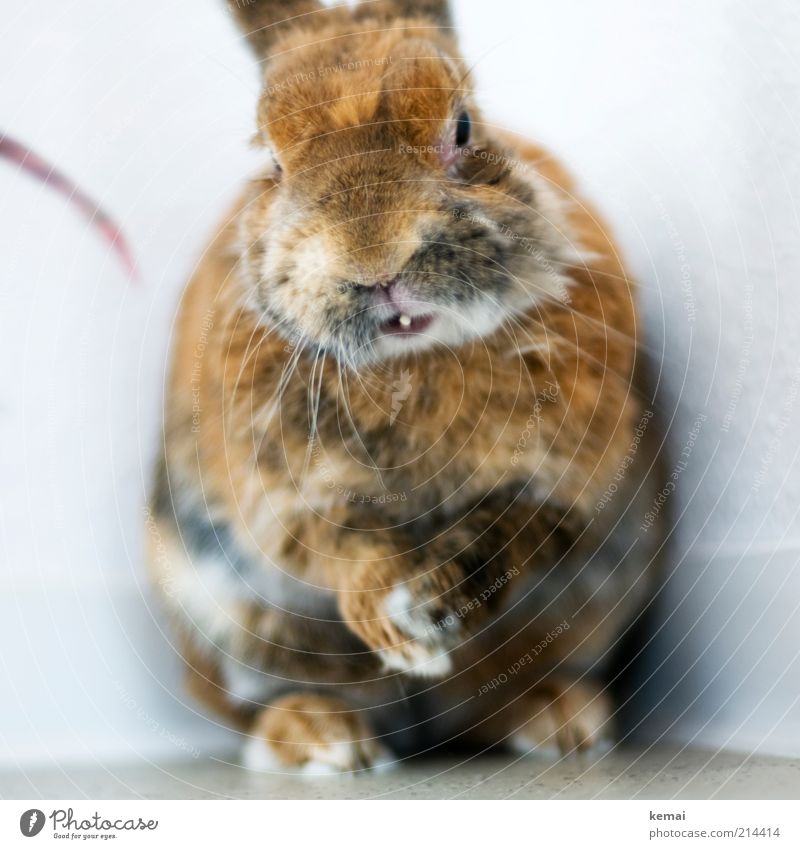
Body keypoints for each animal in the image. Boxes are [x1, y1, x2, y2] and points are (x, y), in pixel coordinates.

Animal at [147, 0, 660, 772]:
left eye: (463, 127)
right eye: (273, 162)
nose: (375, 263)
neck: (410, 358)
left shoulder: (562, 486)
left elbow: (497, 537)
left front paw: (427, 613)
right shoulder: (293, 502)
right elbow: (350, 552)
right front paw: (398, 632)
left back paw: (558, 716)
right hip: (219, 611)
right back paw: (324, 738)